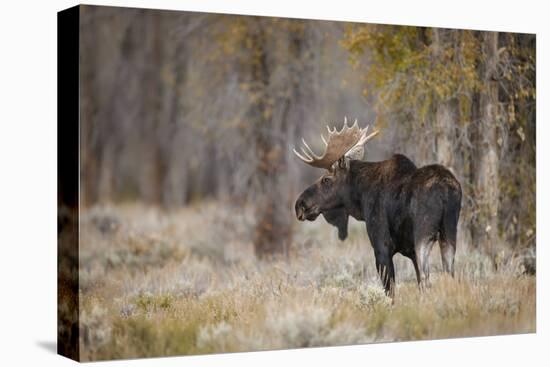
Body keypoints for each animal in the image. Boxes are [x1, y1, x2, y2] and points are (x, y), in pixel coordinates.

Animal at [296, 119, 464, 298]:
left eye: (326, 179)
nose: (300, 204)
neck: (360, 197)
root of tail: (446, 190)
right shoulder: (410, 251)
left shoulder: (382, 247)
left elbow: (391, 292)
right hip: (449, 234)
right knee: (449, 275)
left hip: (424, 236)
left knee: (428, 279)